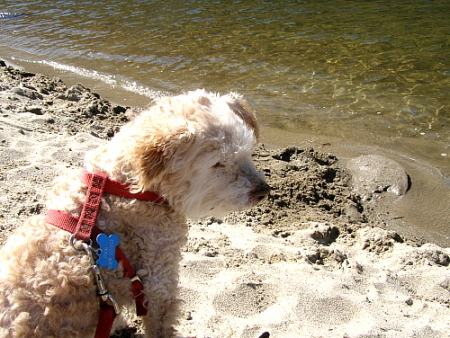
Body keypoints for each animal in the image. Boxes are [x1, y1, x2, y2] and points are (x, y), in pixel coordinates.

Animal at [0, 90, 268, 338]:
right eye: (217, 163)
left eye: (246, 151)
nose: (263, 191)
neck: (124, 186)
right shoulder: (158, 281)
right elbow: (161, 326)